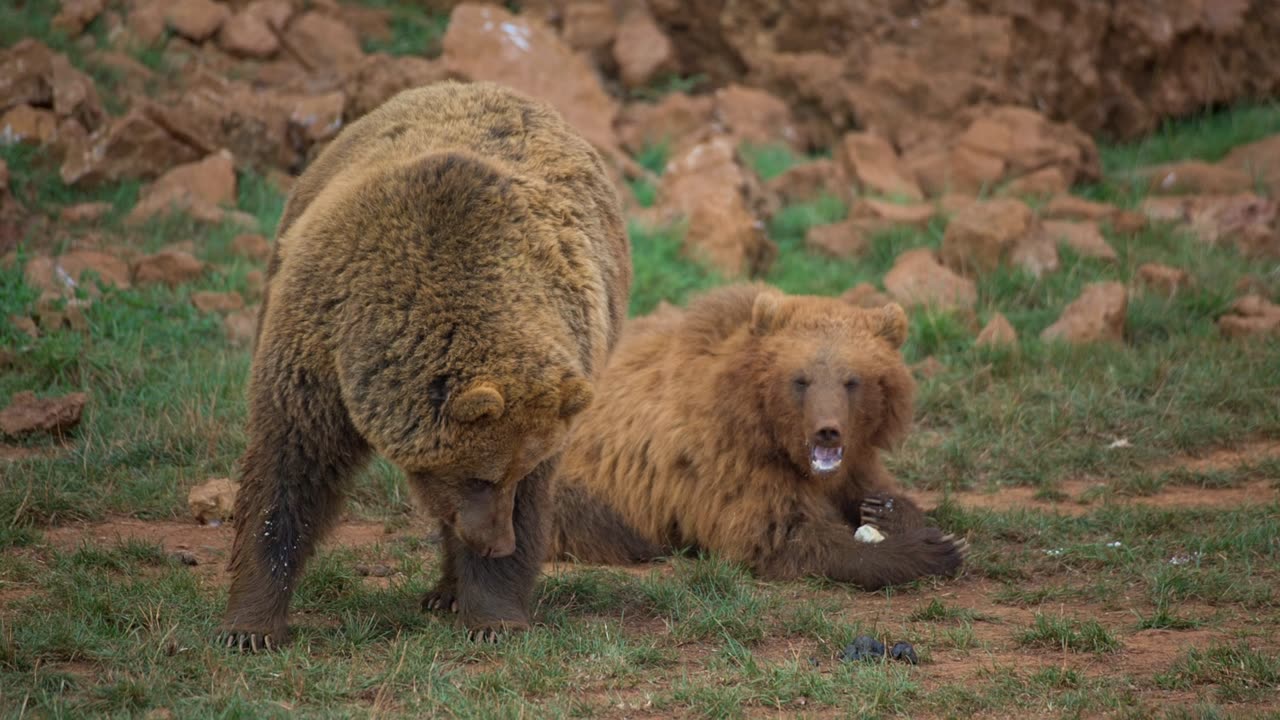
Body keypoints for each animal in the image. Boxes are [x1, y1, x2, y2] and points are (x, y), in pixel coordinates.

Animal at [218, 81, 629, 648]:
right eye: (480, 476)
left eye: (515, 474)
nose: (497, 543)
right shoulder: (317, 348)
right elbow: (288, 471)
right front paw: (250, 626)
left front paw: (495, 615)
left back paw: (448, 591)